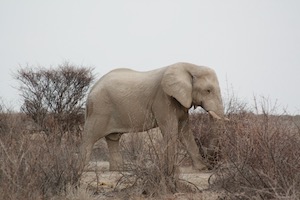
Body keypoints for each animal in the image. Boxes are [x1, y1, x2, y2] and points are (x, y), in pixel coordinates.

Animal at [81, 61, 226, 171]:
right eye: (208, 90)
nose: (211, 164)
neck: (190, 66)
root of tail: (91, 89)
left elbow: (184, 132)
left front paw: (201, 168)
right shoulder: (163, 99)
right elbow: (171, 130)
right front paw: (170, 170)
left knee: (113, 139)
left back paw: (118, 170)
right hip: (99, 109)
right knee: (89, 137)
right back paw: (81, 168)